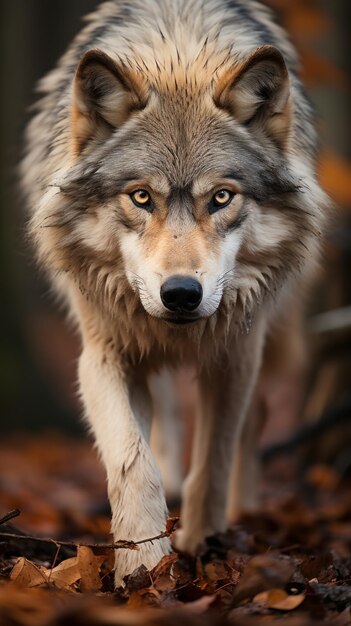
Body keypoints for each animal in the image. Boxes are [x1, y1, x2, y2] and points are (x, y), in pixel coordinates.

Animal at [22, 0, 330, 584]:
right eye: (142, 197)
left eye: (222, 197)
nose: (182, 294)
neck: (179, 53)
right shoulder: (104, 353)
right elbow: (131, 459)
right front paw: (143, 558)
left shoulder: (235, 354)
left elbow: (213, 459)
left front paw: (201, 543)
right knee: (163, 426)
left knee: (254, 421)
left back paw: (243, 510)